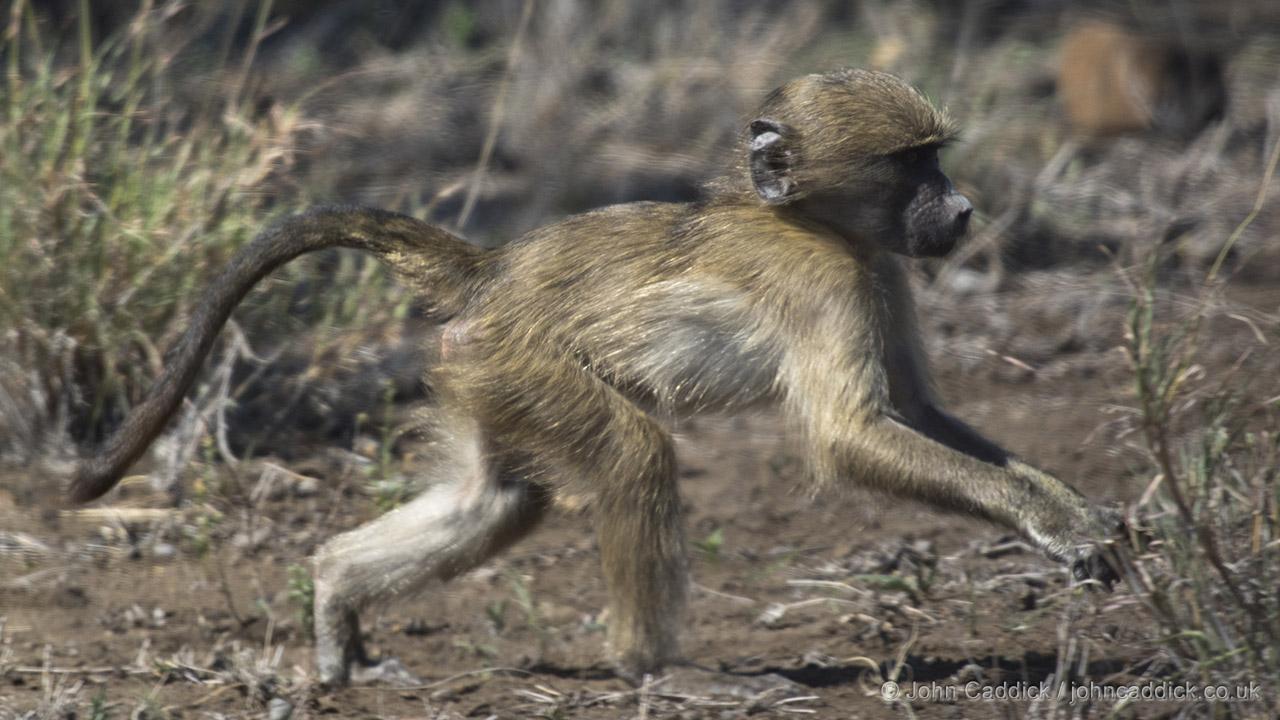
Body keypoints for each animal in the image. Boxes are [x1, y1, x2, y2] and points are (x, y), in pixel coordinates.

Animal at [69, 69, 1122, 691]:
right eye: (914, 165)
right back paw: (658, 671)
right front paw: (1058, 523)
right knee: (630, 456)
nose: (965, 210)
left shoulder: (882, 274)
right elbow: (852, 435)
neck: (807, 220)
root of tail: (492, 269)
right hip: (522, 358)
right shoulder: (829, 282)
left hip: (483, 369)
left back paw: (333, 593)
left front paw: (1071, 512)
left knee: (499, 501)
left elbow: (919, 411)